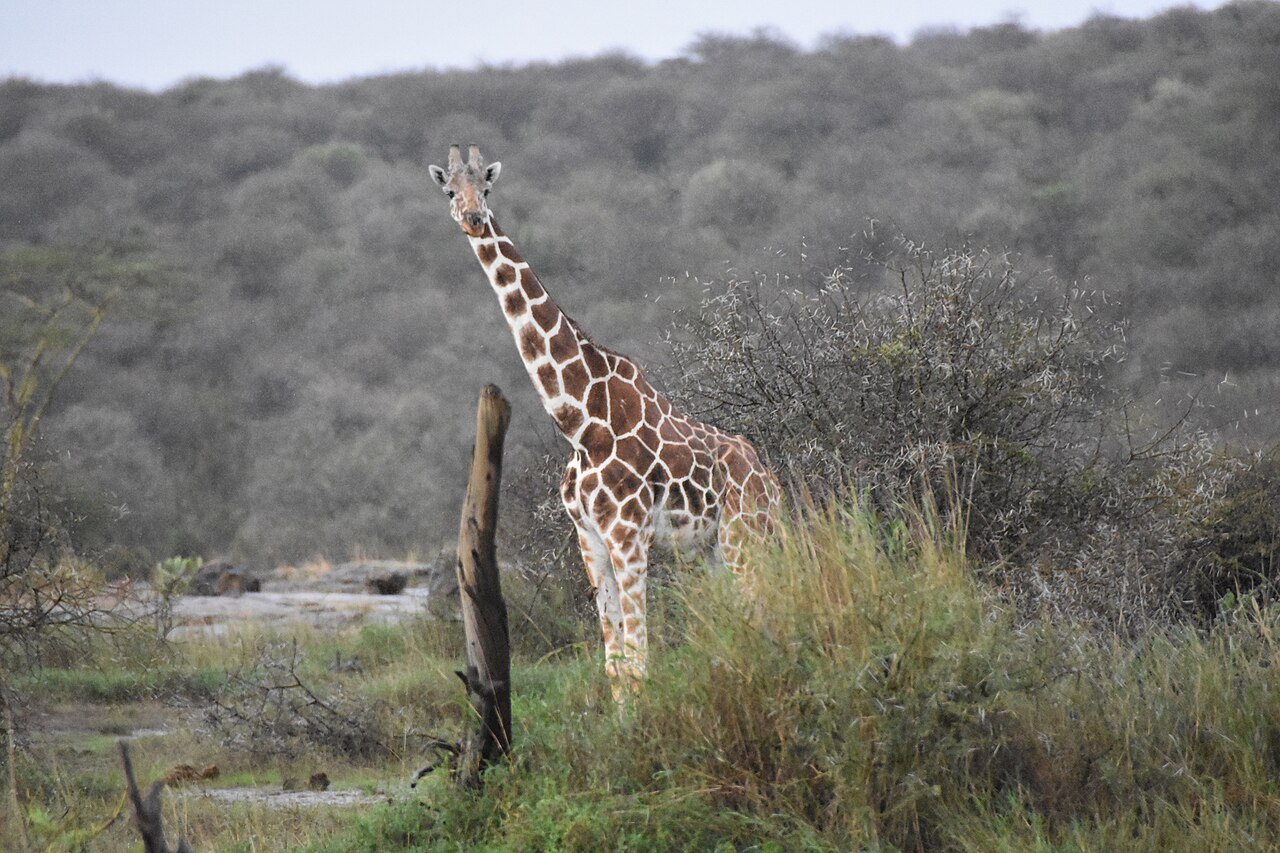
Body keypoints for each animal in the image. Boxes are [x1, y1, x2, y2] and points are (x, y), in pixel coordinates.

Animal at [429, 145, 780, 697]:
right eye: (449, 191)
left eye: (485, 187)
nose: (473, 218)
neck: (581, 420)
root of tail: (771, 479)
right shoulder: (589, 538)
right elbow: (616, 665)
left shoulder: (628, 535)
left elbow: (640, 662)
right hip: (712, 548)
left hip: (748, 536)